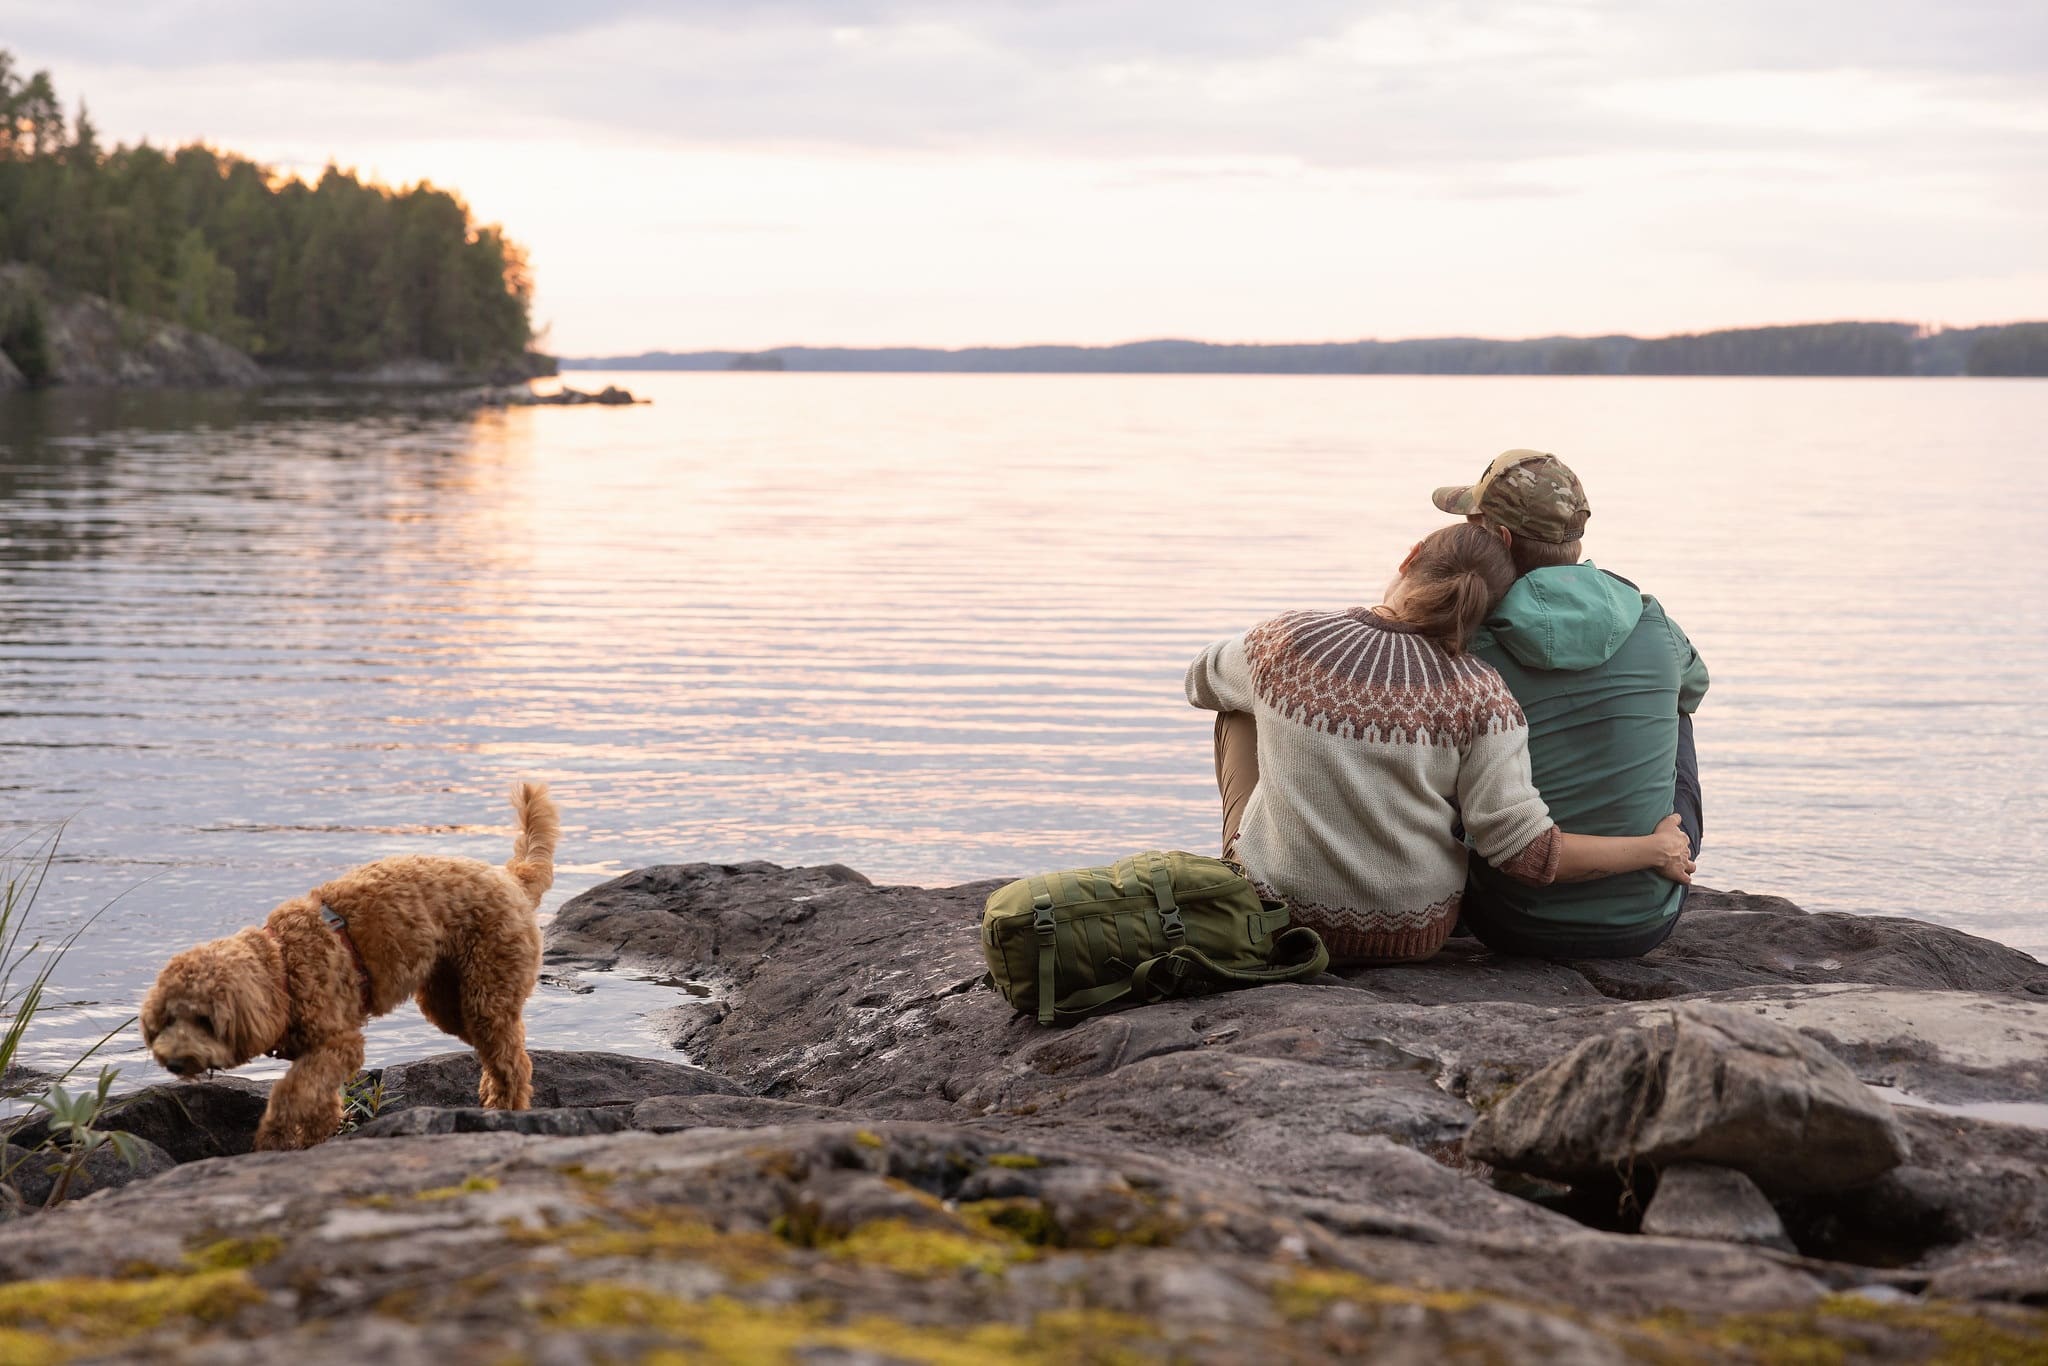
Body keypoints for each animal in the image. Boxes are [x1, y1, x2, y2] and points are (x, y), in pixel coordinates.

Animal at [141, 786, 561, 1146]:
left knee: (513, 1061)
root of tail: (510, 877)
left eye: (205, 1020)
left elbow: (291, 1092)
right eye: (169, 1018)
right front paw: (308, 1138)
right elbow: (318, 1102)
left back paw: (506, 1107)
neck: (283, 966)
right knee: (501, 1048)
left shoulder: (338, 1044)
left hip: (486, 991)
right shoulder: (321, 1055)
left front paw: (273, 1136)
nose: (173, 1062)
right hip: (449, 1001)